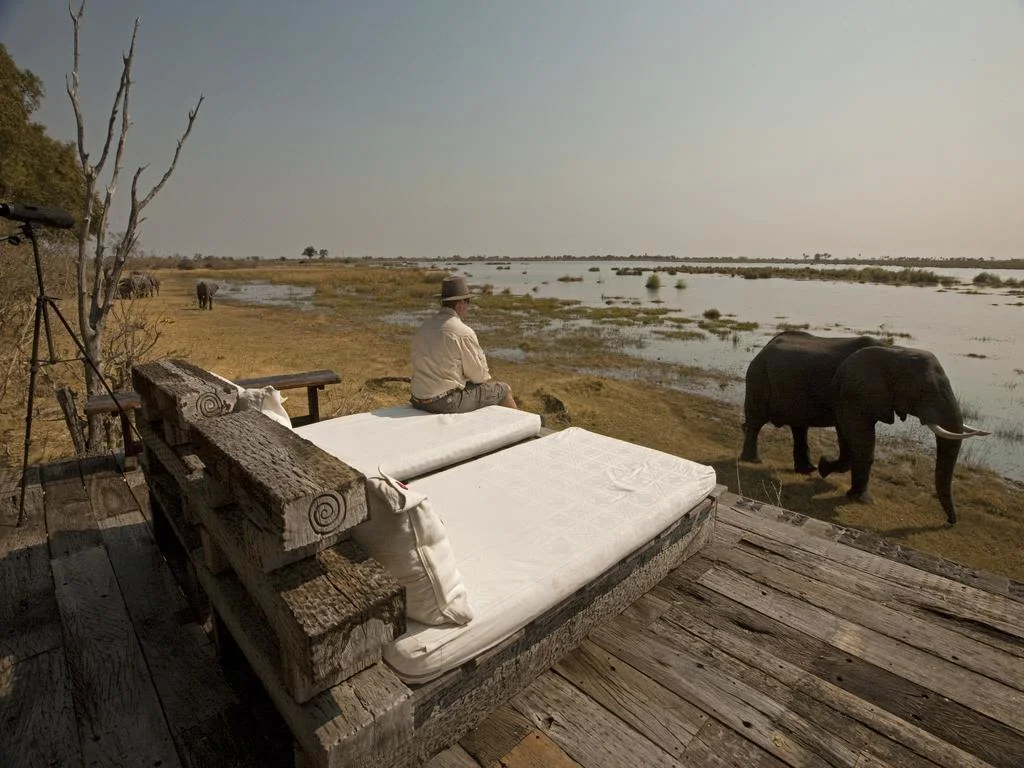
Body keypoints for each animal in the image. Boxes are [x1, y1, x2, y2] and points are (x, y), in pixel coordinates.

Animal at [741, 331, 885, 474]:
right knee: (756, 422)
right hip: (759, 378)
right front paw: (824, 466)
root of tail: (764, 348)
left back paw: (808, 469)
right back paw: (753, 461)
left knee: (799, 427)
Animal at [819, 345, 987, 524]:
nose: (950, 522)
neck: (894, 356)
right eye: (924, 390)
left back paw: (823, 467)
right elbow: (865, 445)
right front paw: (863, 500)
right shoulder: (858, 396)